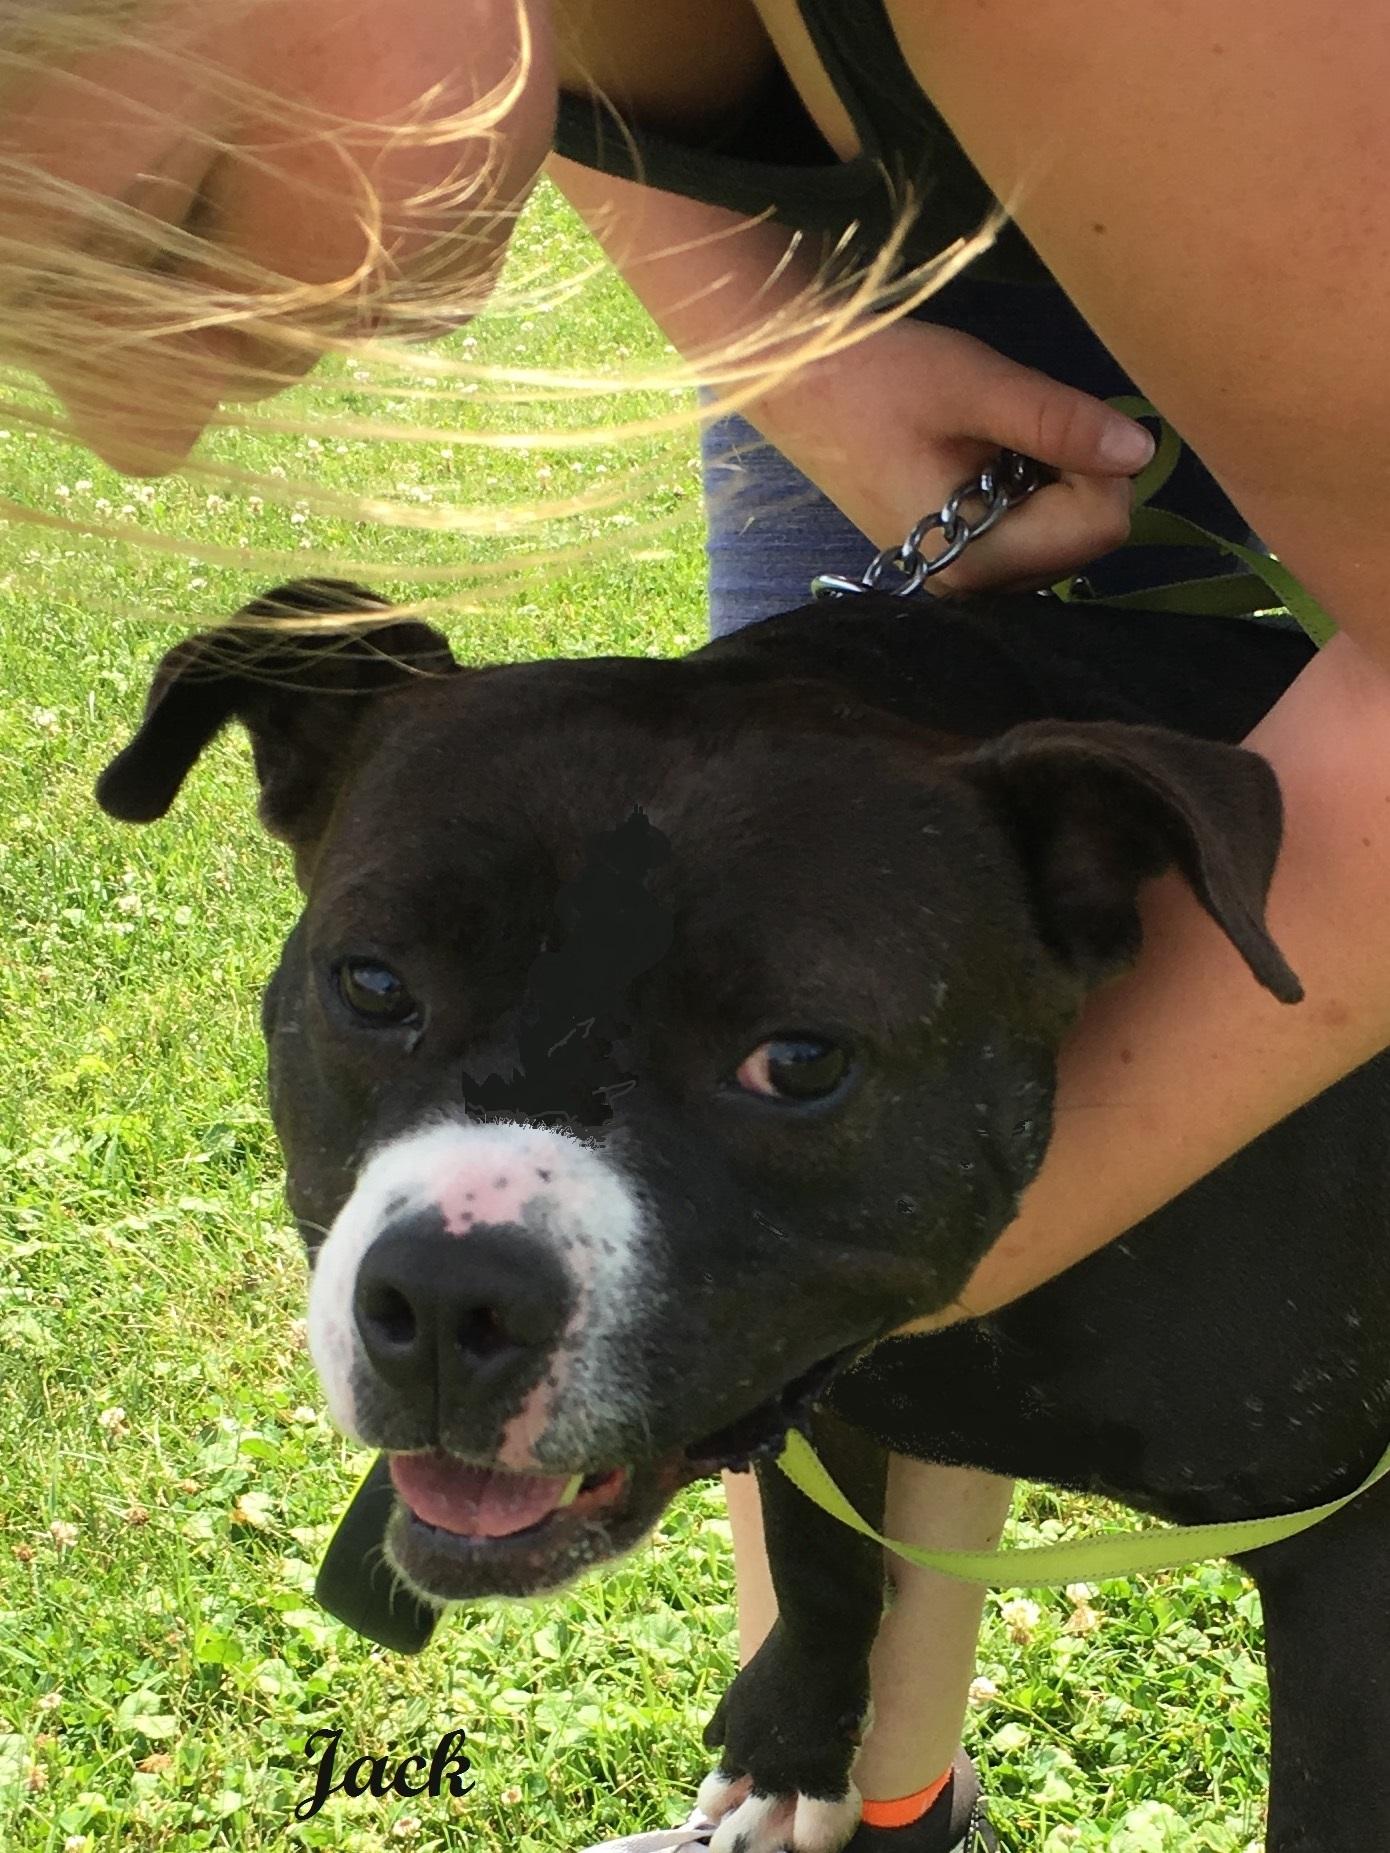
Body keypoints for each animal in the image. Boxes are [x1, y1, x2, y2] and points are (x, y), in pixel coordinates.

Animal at [98, 581, 1390, 1853]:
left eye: (800, 1059)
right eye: (371, 984)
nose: (446, 1290)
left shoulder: (1348, 1554)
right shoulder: (810, 1375)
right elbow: (816, 1550)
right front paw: (792, 1740)